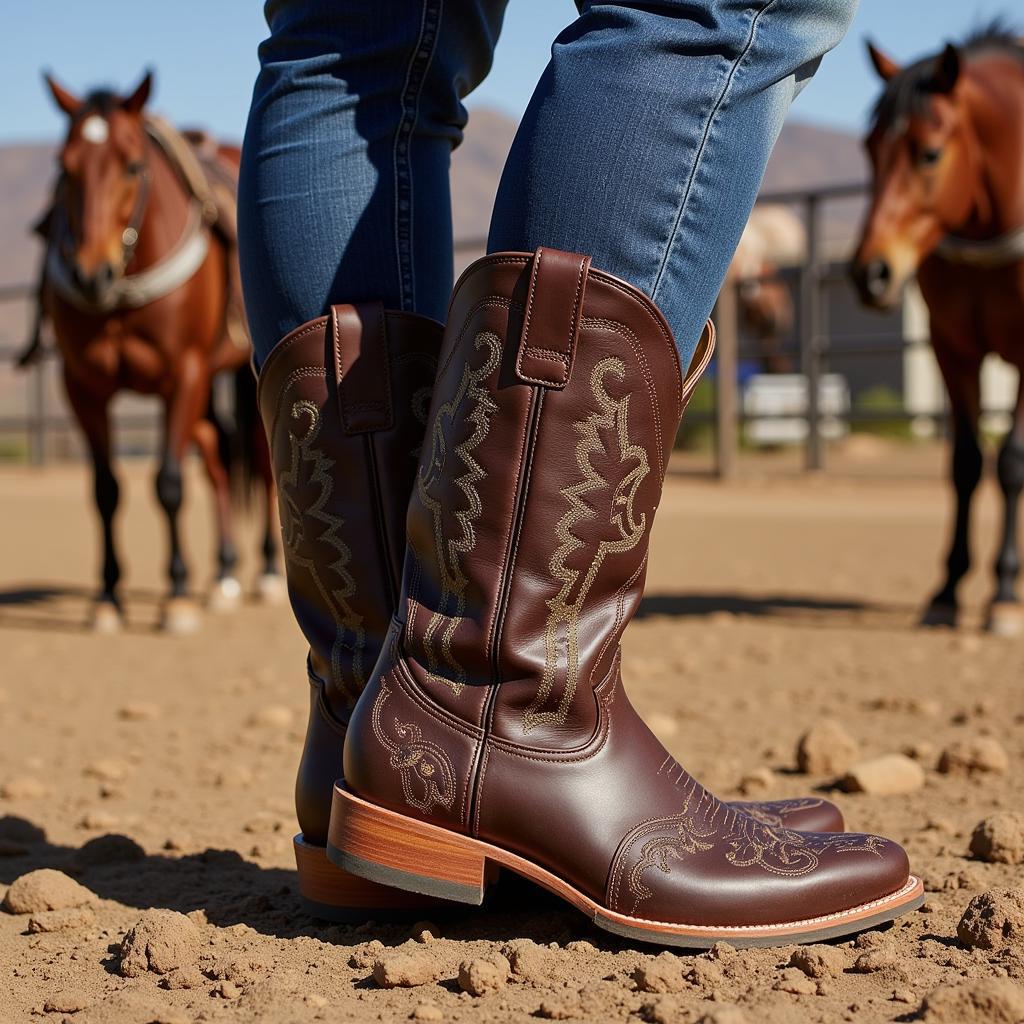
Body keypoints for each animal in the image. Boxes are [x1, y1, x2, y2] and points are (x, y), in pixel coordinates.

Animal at [38, 70, 280, 630]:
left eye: (132, 165)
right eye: (64, 167)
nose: (90, 274)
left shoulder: (184, 373)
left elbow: (169, 483)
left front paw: (177, 593)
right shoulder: (83, 387)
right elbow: (106, 490)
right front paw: (108, 596)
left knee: (260, 460)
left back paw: (266, 572)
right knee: (217, 454)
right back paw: (224, 573)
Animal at [851, 24, 1024, 630]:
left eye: (929, 152)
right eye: (870, 149)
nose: (871, 273)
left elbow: (1012, 462)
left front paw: (1003, 591)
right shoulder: (951, 349)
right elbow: (966, 463)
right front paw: (948, 588)